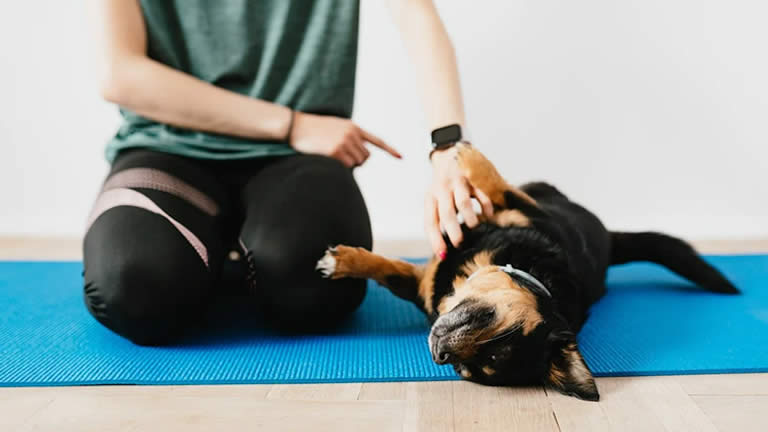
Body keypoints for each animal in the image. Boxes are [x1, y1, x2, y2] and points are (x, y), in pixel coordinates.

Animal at [314, 143, 736, 400]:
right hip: (541, 193)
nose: (440, 353)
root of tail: (609, 240)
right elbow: (387, 268)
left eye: (470, 368)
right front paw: (344, 261)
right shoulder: (520, 217)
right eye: (497, 327)